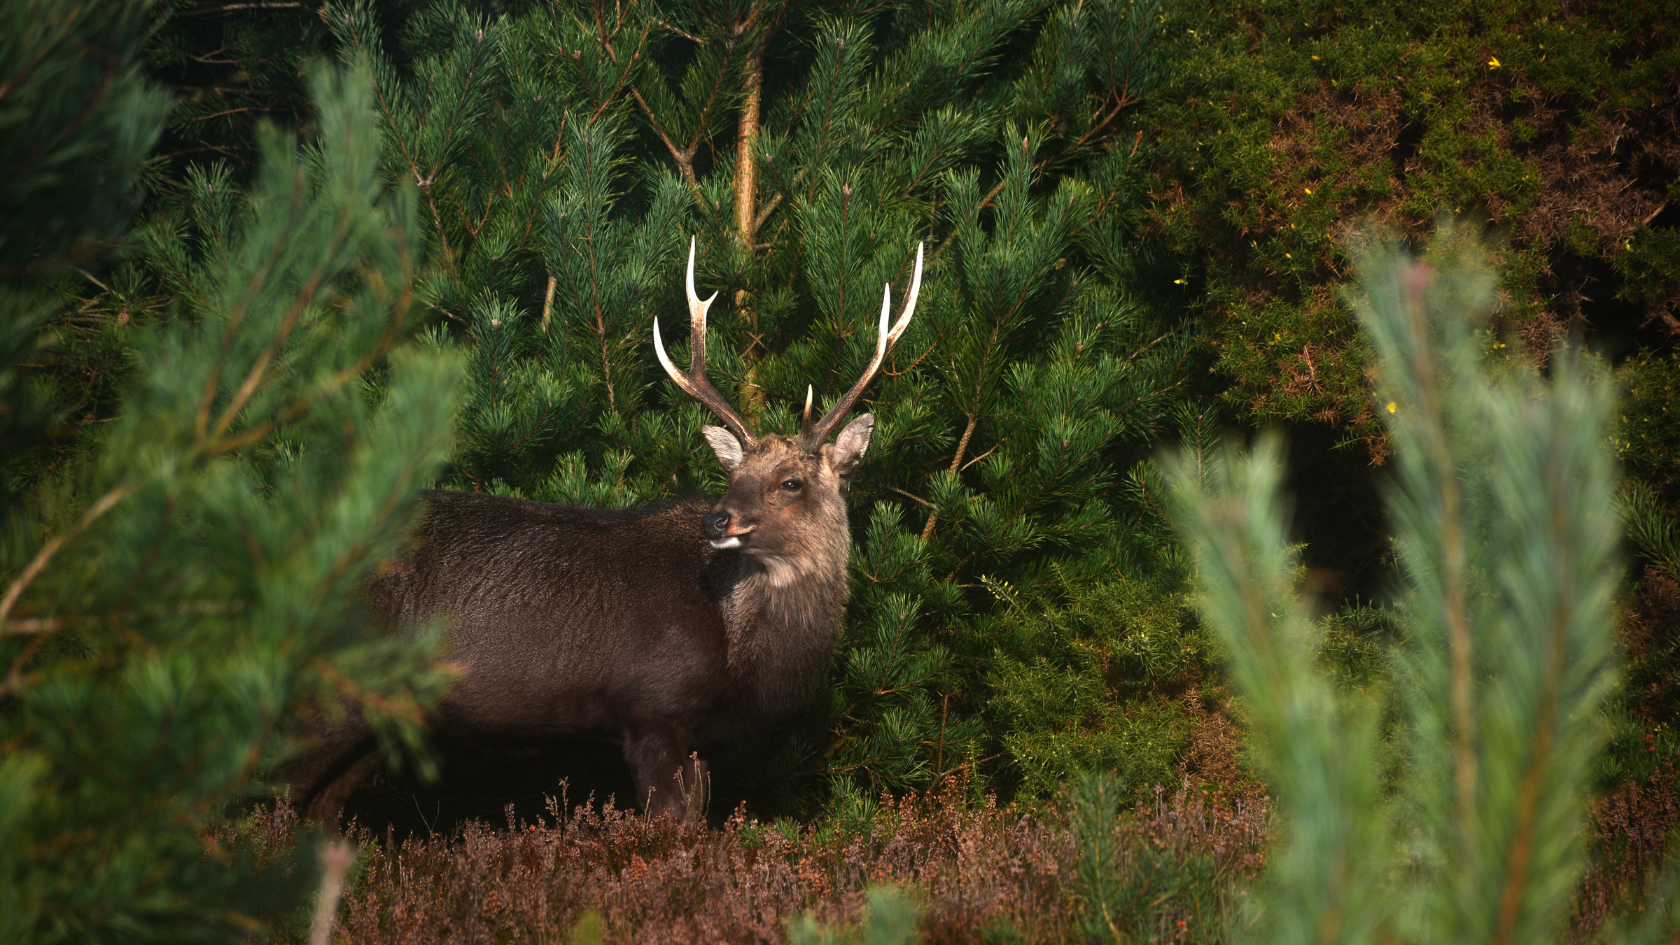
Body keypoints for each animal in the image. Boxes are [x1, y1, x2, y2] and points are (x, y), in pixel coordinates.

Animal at [280, 239, 924, 823]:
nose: (719, 519)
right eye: (731, 472)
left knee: (322, 809)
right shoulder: (650, 707)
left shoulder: (698, 739)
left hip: (383, 717)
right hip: (328, 692)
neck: (739, 648)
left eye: (791, 481)